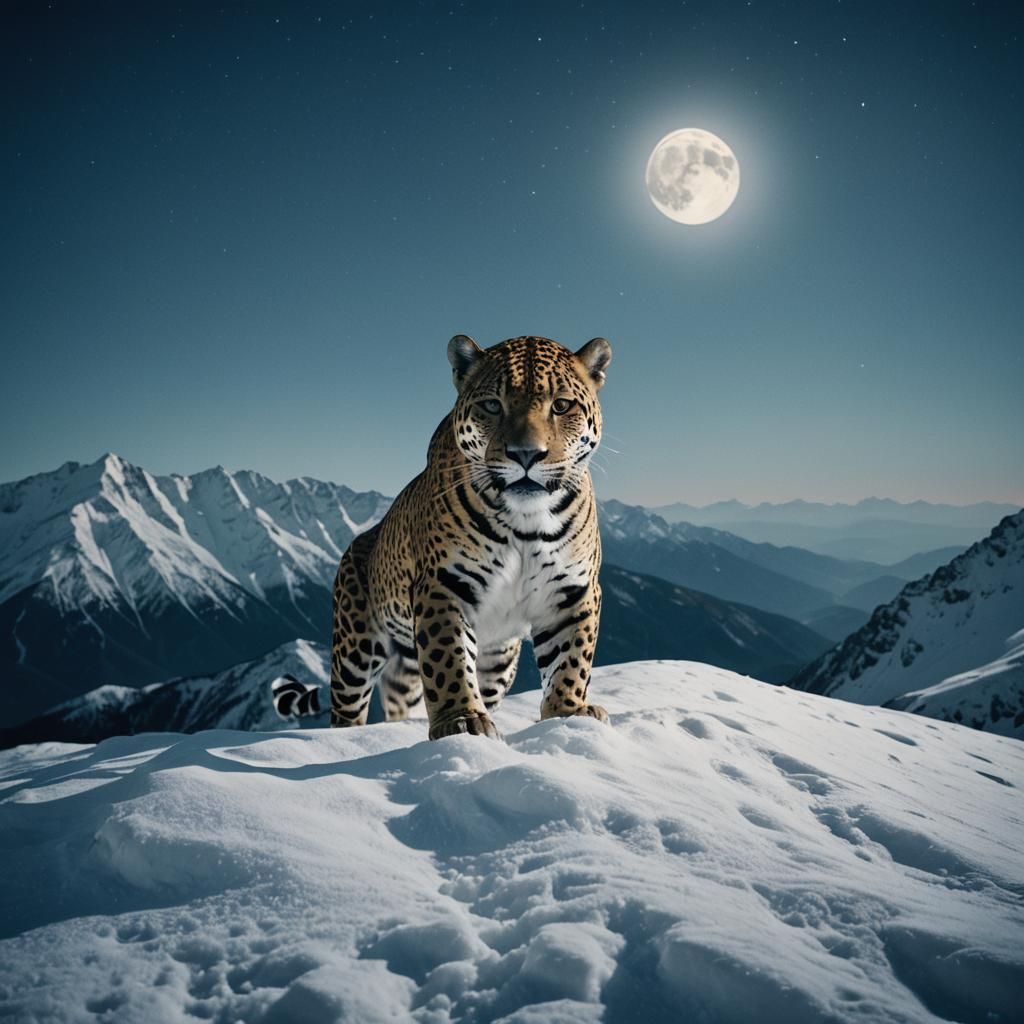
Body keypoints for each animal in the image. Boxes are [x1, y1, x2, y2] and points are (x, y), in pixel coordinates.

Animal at [289, 334, 612, 740]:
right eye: (492, 405)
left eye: (562, 406)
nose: (526, 454)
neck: (526, 520)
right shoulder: (444, 584)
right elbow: (448, 661)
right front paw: (461, 720)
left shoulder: (574, 590)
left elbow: (571, 660)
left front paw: (567, 713)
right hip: (354, 647)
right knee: (347, 708)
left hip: (493, 659)